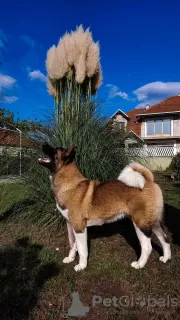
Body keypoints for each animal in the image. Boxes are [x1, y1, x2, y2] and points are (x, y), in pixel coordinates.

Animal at [38, 144, 172, 272]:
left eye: (54, 150)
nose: (43, 143)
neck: (71, 185)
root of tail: (148, 180)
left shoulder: (79, 227)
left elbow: (82, 250)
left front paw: (81, 266)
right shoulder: (71, 225)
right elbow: (73, 244)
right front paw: (70, 258)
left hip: (141, 223)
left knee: (147, 247)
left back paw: (139, 264)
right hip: (153, 221)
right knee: (165, 239)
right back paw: (166, 258)